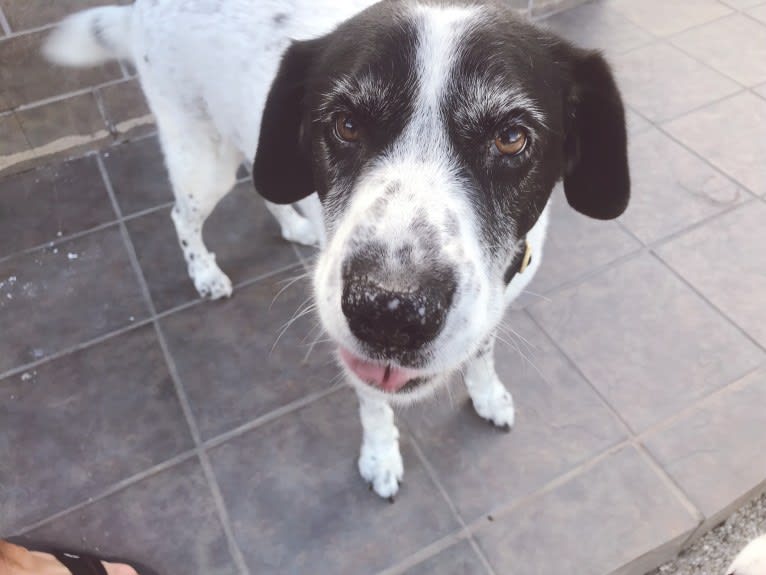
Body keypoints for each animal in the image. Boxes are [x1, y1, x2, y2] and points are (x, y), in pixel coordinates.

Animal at [46, 0, 632, 500]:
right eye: (346, 125)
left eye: (512, 137)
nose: (390, 312)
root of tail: (139, 8)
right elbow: (374, 405)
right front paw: (381, 458)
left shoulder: (493, 304)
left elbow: (481, 353)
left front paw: (488, 396)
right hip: (200, 157)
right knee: (181, 216)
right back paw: (205, 273)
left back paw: (294, 226)